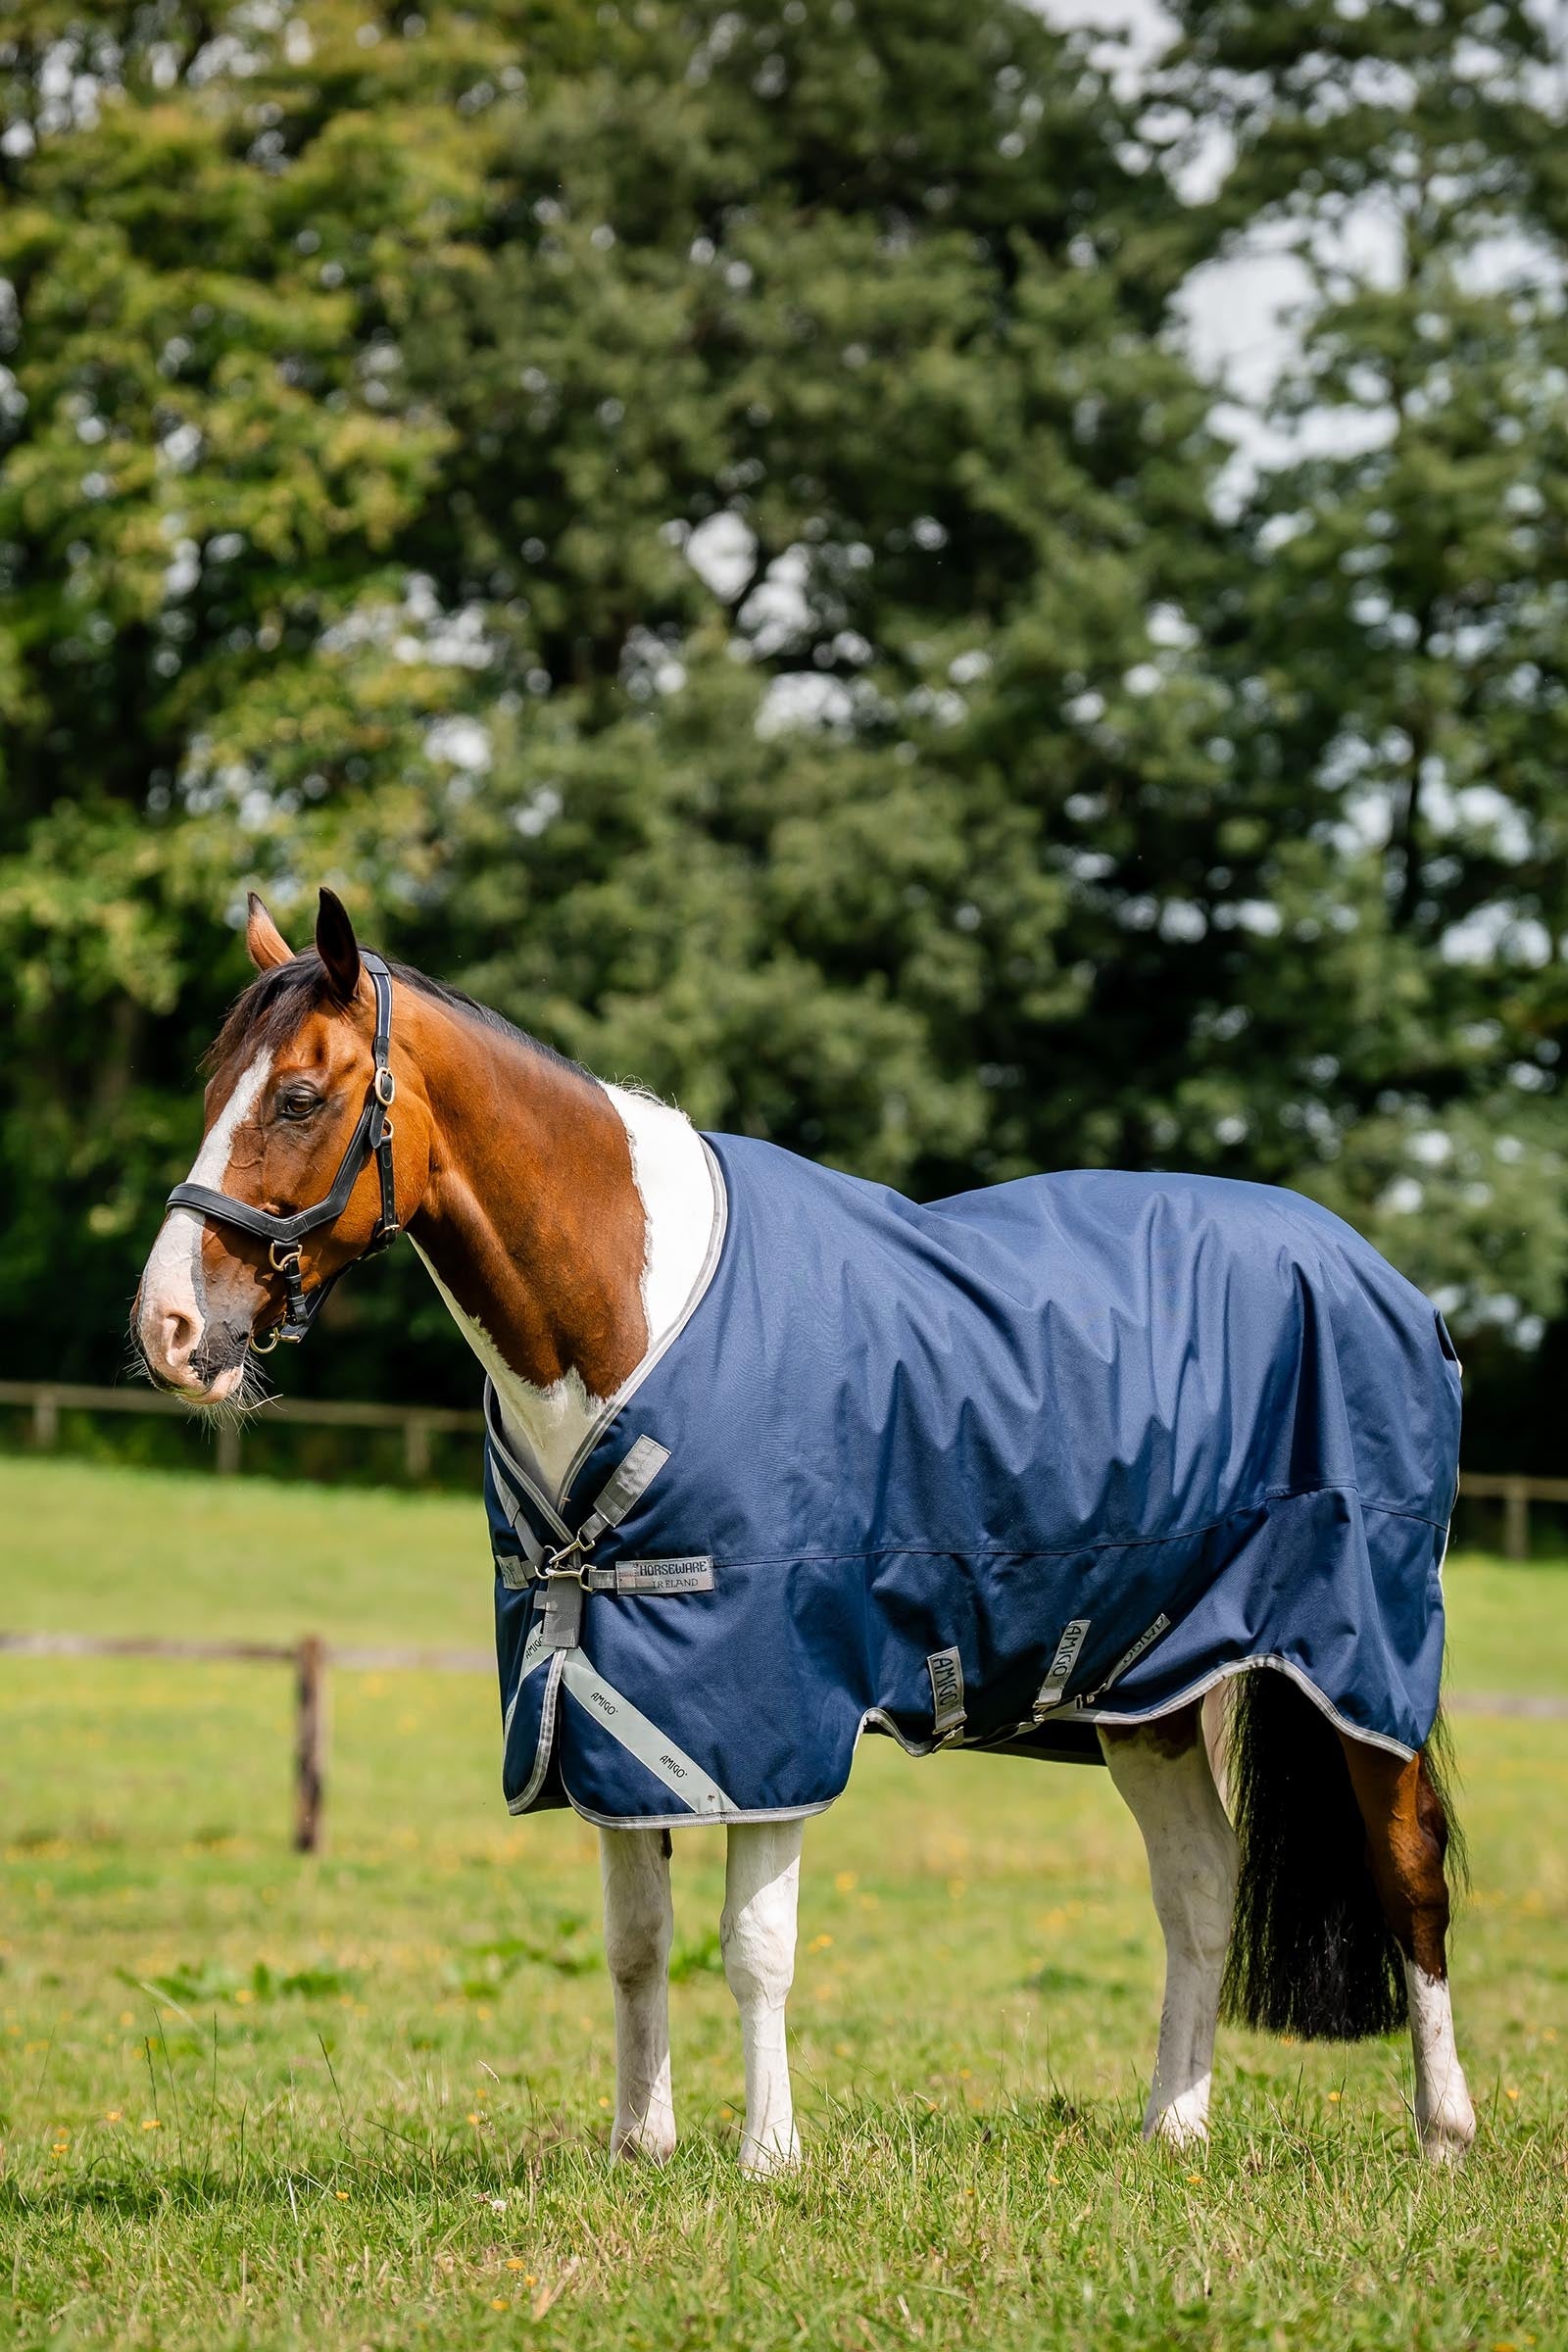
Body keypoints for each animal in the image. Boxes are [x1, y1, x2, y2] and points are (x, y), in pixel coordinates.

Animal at [133, 887, 1477, 2169]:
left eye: (300, 1098)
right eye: (210, 1089)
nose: (168, 1329)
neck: (627, 1310)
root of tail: (1382, 1277)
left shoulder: (766, 1709)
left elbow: (753, 1943)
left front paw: (767, 2155)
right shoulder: (610, 1705)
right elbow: (635, 1939)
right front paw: (639, 2145)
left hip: (1359, 1658)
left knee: (1406, 1872)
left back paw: (1441, 2131)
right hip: (1145, 1687)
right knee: (1198, 1888)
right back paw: (1174, 2129)